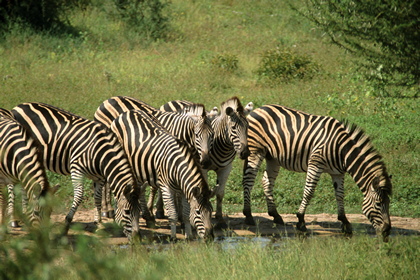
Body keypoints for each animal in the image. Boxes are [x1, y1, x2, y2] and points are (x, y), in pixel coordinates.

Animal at [11, 103, 142, 238]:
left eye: (139, 211)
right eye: (127, 211)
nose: (137, 238)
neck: (101, 152)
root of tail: (19, 106)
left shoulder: (99, 177)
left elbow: (97, 198)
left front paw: (99, 224)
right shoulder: (77, 169)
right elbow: (79, 196)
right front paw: (66, 224)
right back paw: (14, 220)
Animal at [110, 109, 213, 241]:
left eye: (211, 210)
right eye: (198, 212)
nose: (210, 236)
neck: (176, 165)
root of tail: (127, 112)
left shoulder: (183, 190)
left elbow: (185, 214)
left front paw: (188, 236)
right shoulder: (165, 187)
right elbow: (173, 214)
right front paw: (173, 237)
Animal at [159, 97, 248, 229]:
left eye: (247, 127)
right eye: (233, 128)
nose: (245, 153)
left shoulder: (226, 168)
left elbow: (220, 193)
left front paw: (220, 219)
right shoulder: (202, 168)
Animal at [241, 105, 392, 241]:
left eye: (388, 203)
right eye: (378, 204)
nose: (387, 231)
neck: (342, 151)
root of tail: (259, 108)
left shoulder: (338, 173)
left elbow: (340, 195)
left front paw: (344, 222)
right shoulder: (315, 164)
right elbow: (309, 192)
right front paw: (301, 221)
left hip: (273, 158)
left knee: (267, 182)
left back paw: (275, 215)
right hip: (255, 151)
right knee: (248, 180)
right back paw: (248, 215)